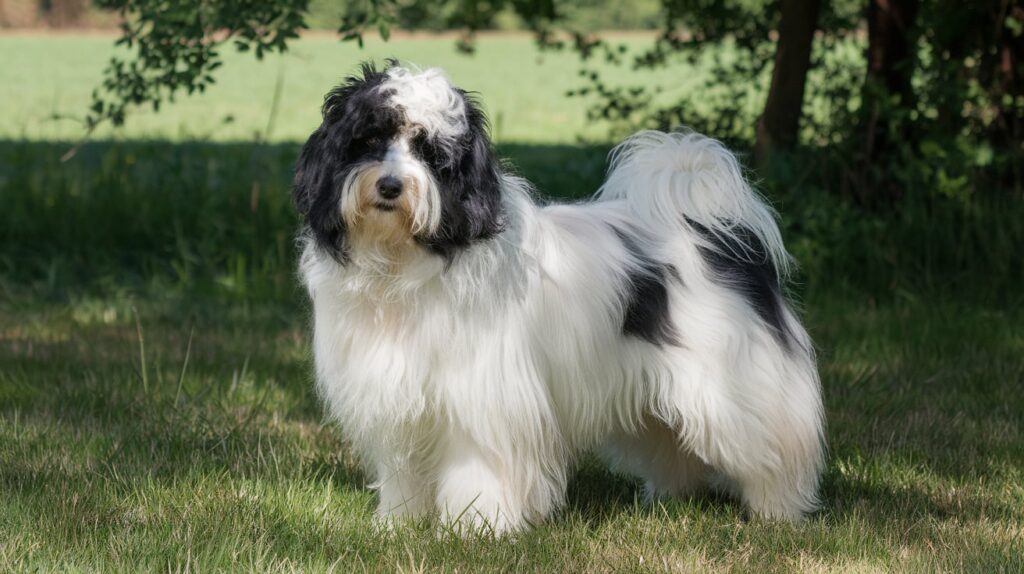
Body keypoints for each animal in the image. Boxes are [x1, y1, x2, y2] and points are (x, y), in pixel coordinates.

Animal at [292, 61, 827, 532]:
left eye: (430, 154)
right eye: (368, 141)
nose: (389, 186)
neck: (405, 260)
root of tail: (710, 232)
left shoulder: (483, 399)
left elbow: (477, 467)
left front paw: (477, 527)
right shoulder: (399, 400)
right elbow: (405, 472)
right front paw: (399, 524)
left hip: (731, 387)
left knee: (776, 447)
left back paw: (778, 510)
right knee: (673, 445)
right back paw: (672, 498)